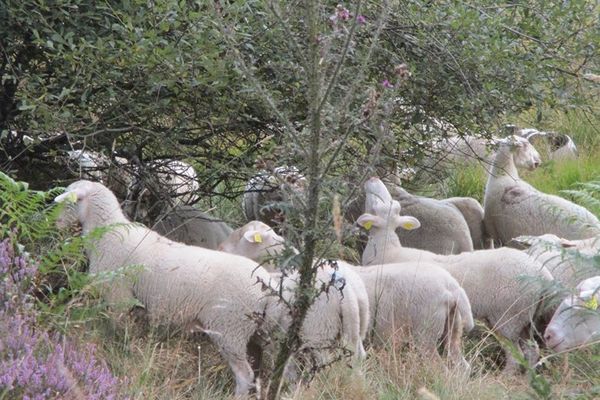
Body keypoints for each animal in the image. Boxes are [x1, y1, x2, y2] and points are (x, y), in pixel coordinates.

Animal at [52, 180, 278, 396]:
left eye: (69, 200)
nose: (55, 222)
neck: (110, 233)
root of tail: (267, 283)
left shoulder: (119, 296)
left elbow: (116, 331)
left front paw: (117, 352)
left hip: (230, 328)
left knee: (245, 374)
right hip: (252, 331)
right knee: (255, 367)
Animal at [217, 219, 474, 368]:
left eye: (240, 238)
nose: (219, 249)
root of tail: (453, 288)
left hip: (424, 332)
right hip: (452, 328)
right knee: (460, 364)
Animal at [358, 179, 556, 372]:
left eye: (376, 207)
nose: (372, 179)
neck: (387, 248)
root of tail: (544, 276)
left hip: (509, 317)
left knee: (516, 356)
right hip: (525, 318)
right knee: (532, 350)